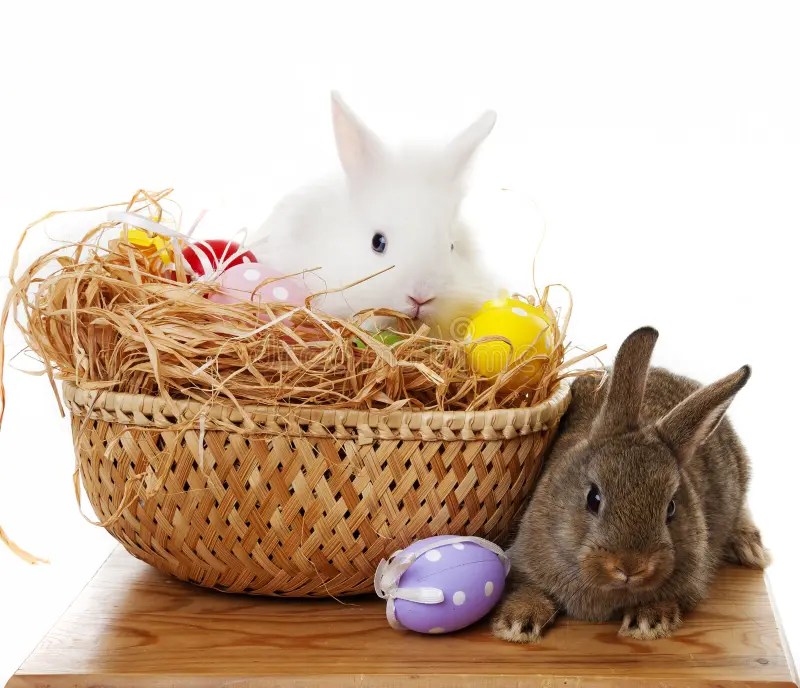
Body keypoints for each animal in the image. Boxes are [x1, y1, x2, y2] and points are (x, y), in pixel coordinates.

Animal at [492, 326, 769, 643]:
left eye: (671, 508)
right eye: (593, 498)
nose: (631, 566)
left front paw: (649, 621)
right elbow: (529, 589)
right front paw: (517, 622)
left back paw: (751, 549)